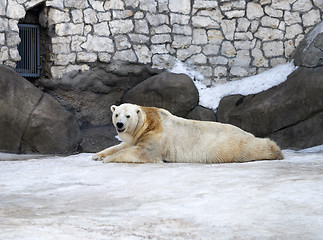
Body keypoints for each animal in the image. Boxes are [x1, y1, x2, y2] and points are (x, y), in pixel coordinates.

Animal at [92, 103, 284, 163]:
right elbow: (122, 145)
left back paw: (275, 149)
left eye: (128, 115)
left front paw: (108, 159)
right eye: (116, 114)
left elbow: (143, 152)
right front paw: (98, 155)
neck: (151, 121)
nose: (120, 124)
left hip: (230, 145)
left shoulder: (157, 135)